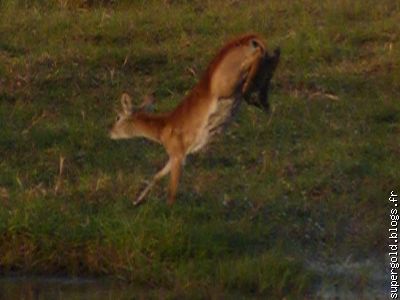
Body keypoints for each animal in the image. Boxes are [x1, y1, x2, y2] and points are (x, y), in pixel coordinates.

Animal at [108, 33, 280, 206]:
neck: (163, 127)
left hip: (228, 85)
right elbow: (158, 175)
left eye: (118, 116)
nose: (110, 132)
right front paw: (137, 200)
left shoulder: (178, 155)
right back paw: (263, 99)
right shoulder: (177, 155)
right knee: (273, 58)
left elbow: (171, 191)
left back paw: (257, 98)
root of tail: (248, 38)